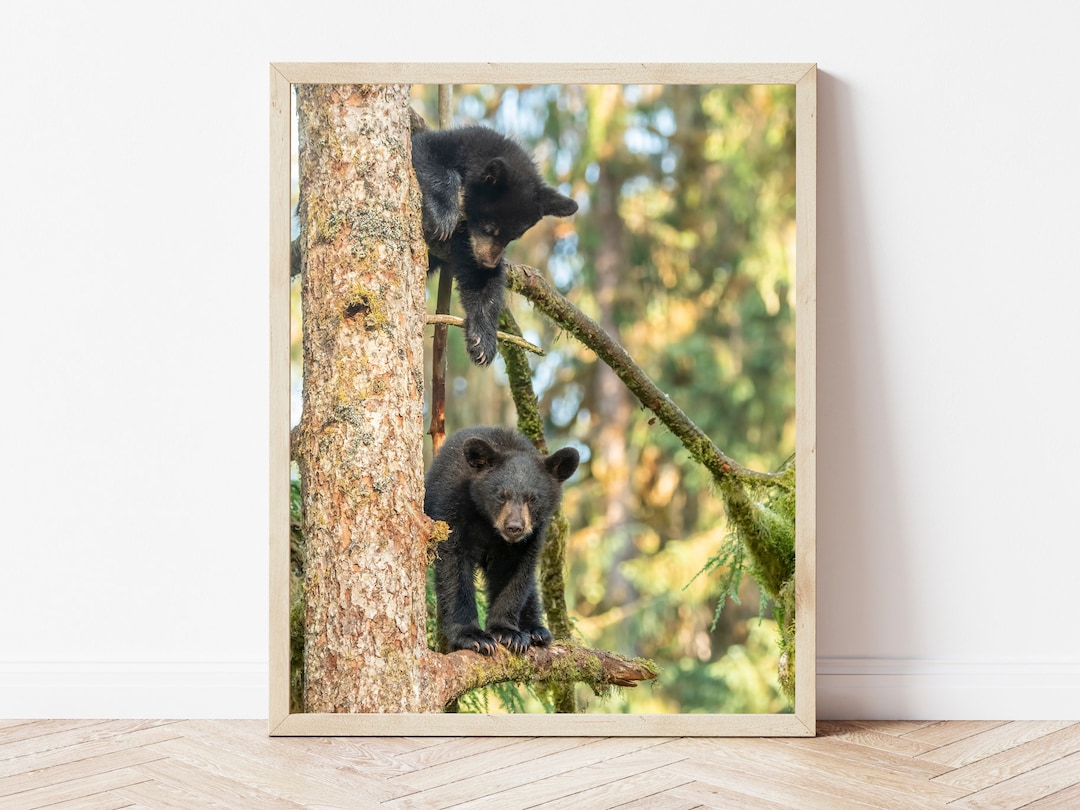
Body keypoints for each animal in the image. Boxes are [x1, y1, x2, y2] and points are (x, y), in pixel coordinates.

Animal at [411, 125, 578, 366]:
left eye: (514, 237)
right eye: (490, 228)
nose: (489, 263)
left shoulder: (467, 245)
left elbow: (479, 282)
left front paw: (483, 341)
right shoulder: (446, 145)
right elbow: (424, 154)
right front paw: (442, 215)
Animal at [424, 425, 581, 655]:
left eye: (533, 498)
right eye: (501, 495)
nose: (514, 527)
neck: (488, 523)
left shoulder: (529, 538)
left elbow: (514, 575)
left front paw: (508, 633)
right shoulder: (452, 507)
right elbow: (454, 567)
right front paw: (473, 636)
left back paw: (536, 630)